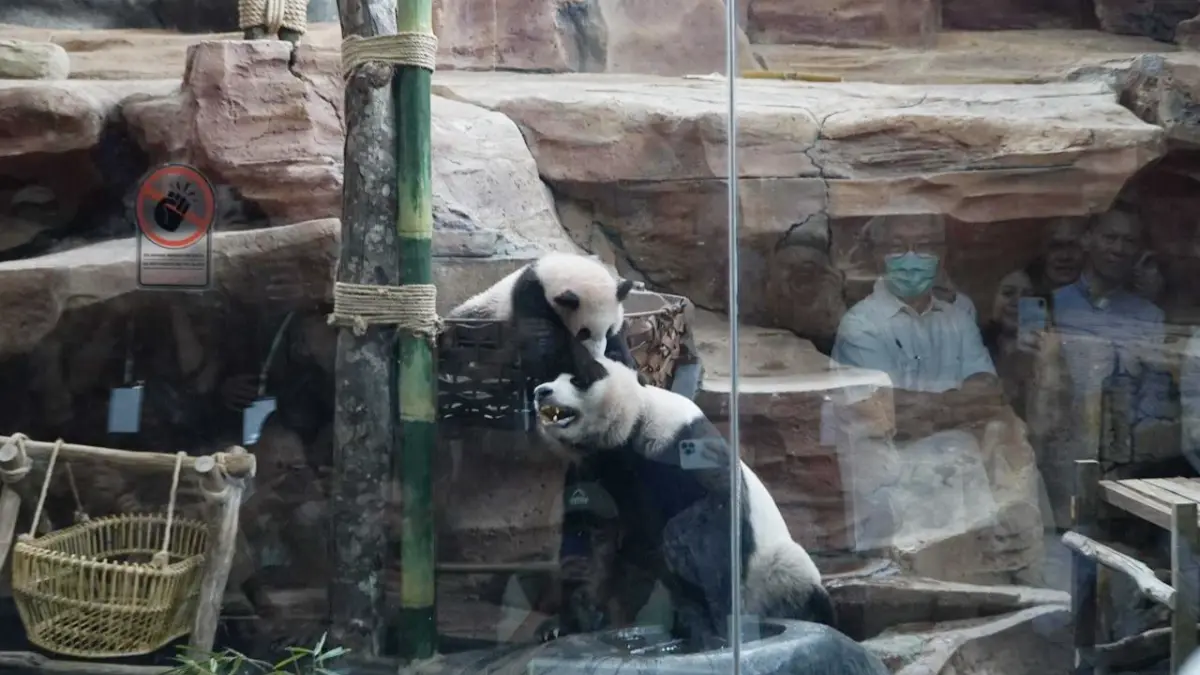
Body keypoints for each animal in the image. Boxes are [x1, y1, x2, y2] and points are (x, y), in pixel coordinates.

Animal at [448, 252, 639, 384]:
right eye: (584, 332)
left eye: (609, 331)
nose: (598, 355)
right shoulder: (531, 297)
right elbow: (546, 344)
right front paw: (593, 369)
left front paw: (623, 360)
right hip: (486, 313)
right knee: (468, 329)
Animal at [531, 339, 836, 649]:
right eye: (551, 377)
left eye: (578, 380)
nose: (541, 392)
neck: (624, 435)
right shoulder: (593, 469)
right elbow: (588, 536)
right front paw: (565, 623)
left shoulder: (676, 440)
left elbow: (715, 513)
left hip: (772, 574)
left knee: (795, 585)